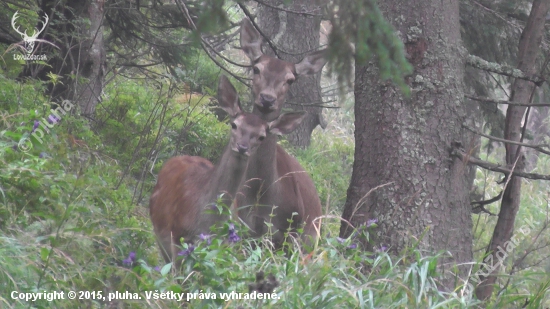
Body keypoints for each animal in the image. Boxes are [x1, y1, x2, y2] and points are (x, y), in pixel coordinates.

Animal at [236, 18, 328, 245]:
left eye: (290, 79)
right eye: (256, 69)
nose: (267, 99)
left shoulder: (289, 233)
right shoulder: (242, 222)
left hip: (311, 239)